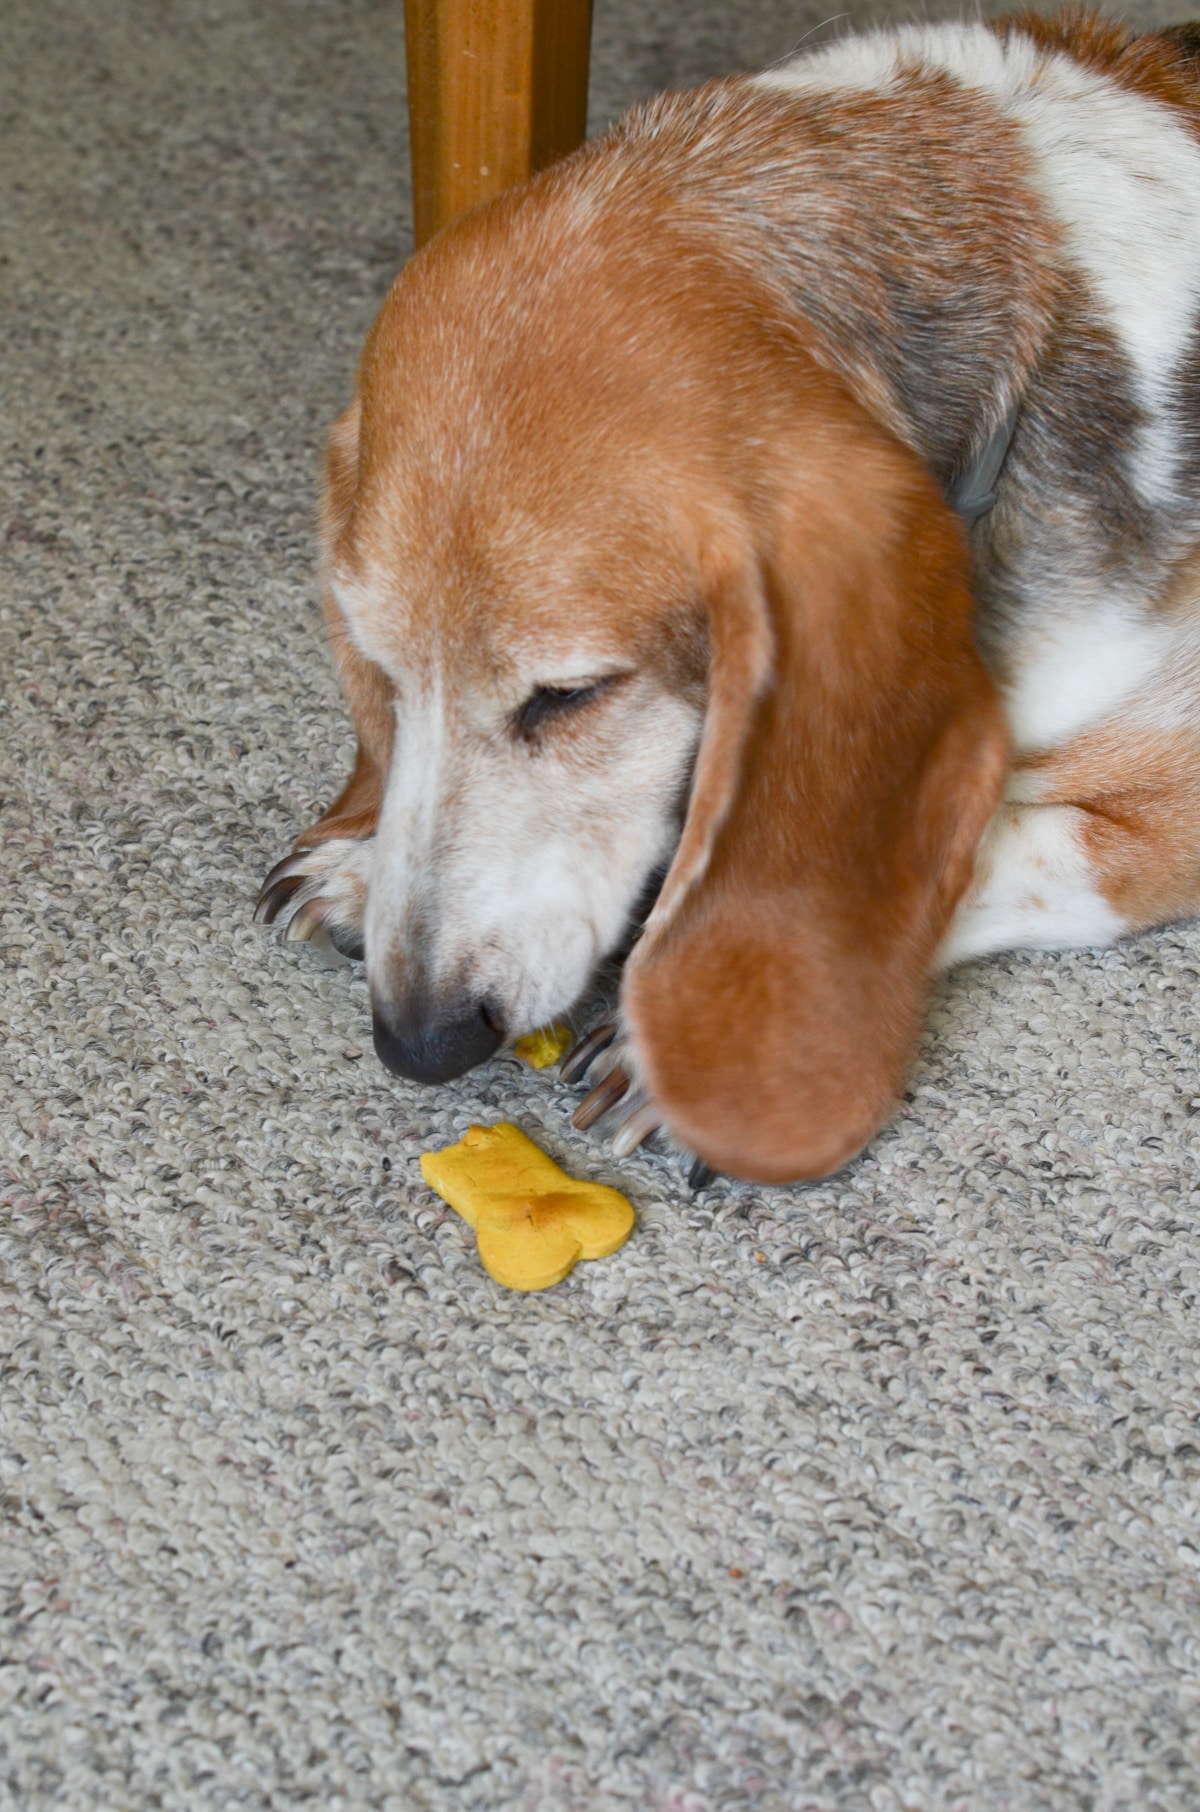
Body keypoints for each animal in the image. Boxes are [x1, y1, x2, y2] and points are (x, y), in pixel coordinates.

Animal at [259, 10, 1200, 1188]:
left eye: (569, 695)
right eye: (382, 674)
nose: (420, 1043)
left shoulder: (1165, 804)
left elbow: (980, 847)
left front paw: (674, 1041)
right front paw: (358, 859)